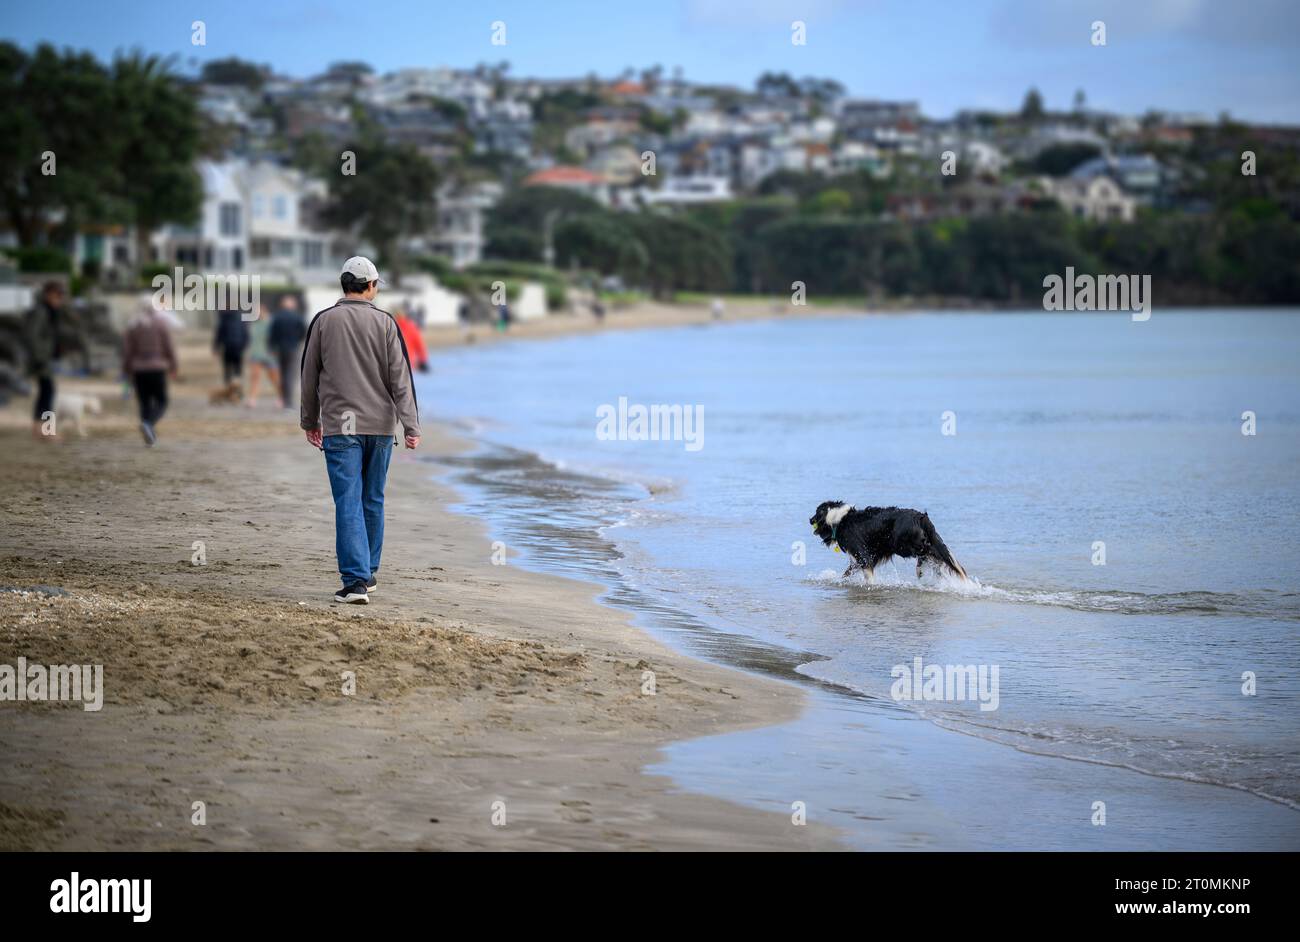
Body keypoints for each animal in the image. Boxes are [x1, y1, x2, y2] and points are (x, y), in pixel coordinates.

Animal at [806, 498, 972, 579]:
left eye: (816, 513)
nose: (809, 520)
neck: (840, 520)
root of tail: (920, 516)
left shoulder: (863, 555)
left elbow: (867, 575)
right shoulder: (867, 557)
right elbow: (848, 572)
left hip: (902, 545)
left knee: (930, 553)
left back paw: (921, 569)